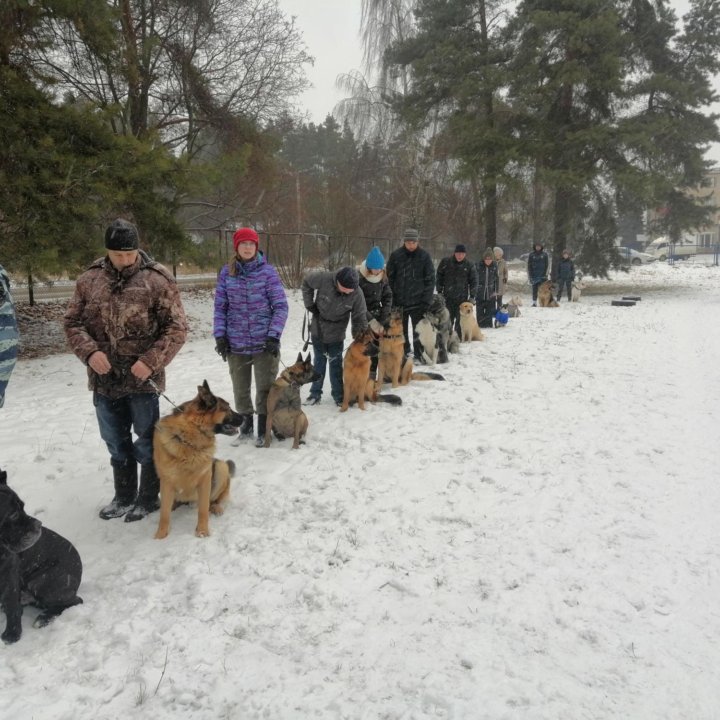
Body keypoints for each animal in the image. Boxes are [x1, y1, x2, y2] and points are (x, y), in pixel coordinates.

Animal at [0, 470, 82, 644]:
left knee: (76, 601)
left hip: (42, 582)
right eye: (13, 514)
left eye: (23, 507)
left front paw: (12, 634)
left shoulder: (9, 576)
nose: (39, 524)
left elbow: (12, 606)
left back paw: (43, 618)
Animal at [152, 380, 242, 536]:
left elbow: (203, 510)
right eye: (228, 409)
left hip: (220, 467)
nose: (245, 417)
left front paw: (202, 532)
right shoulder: (166, 482)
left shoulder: (205, 480)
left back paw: (216, 507)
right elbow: (164, 514)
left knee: (218, 499)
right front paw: (161, 535)